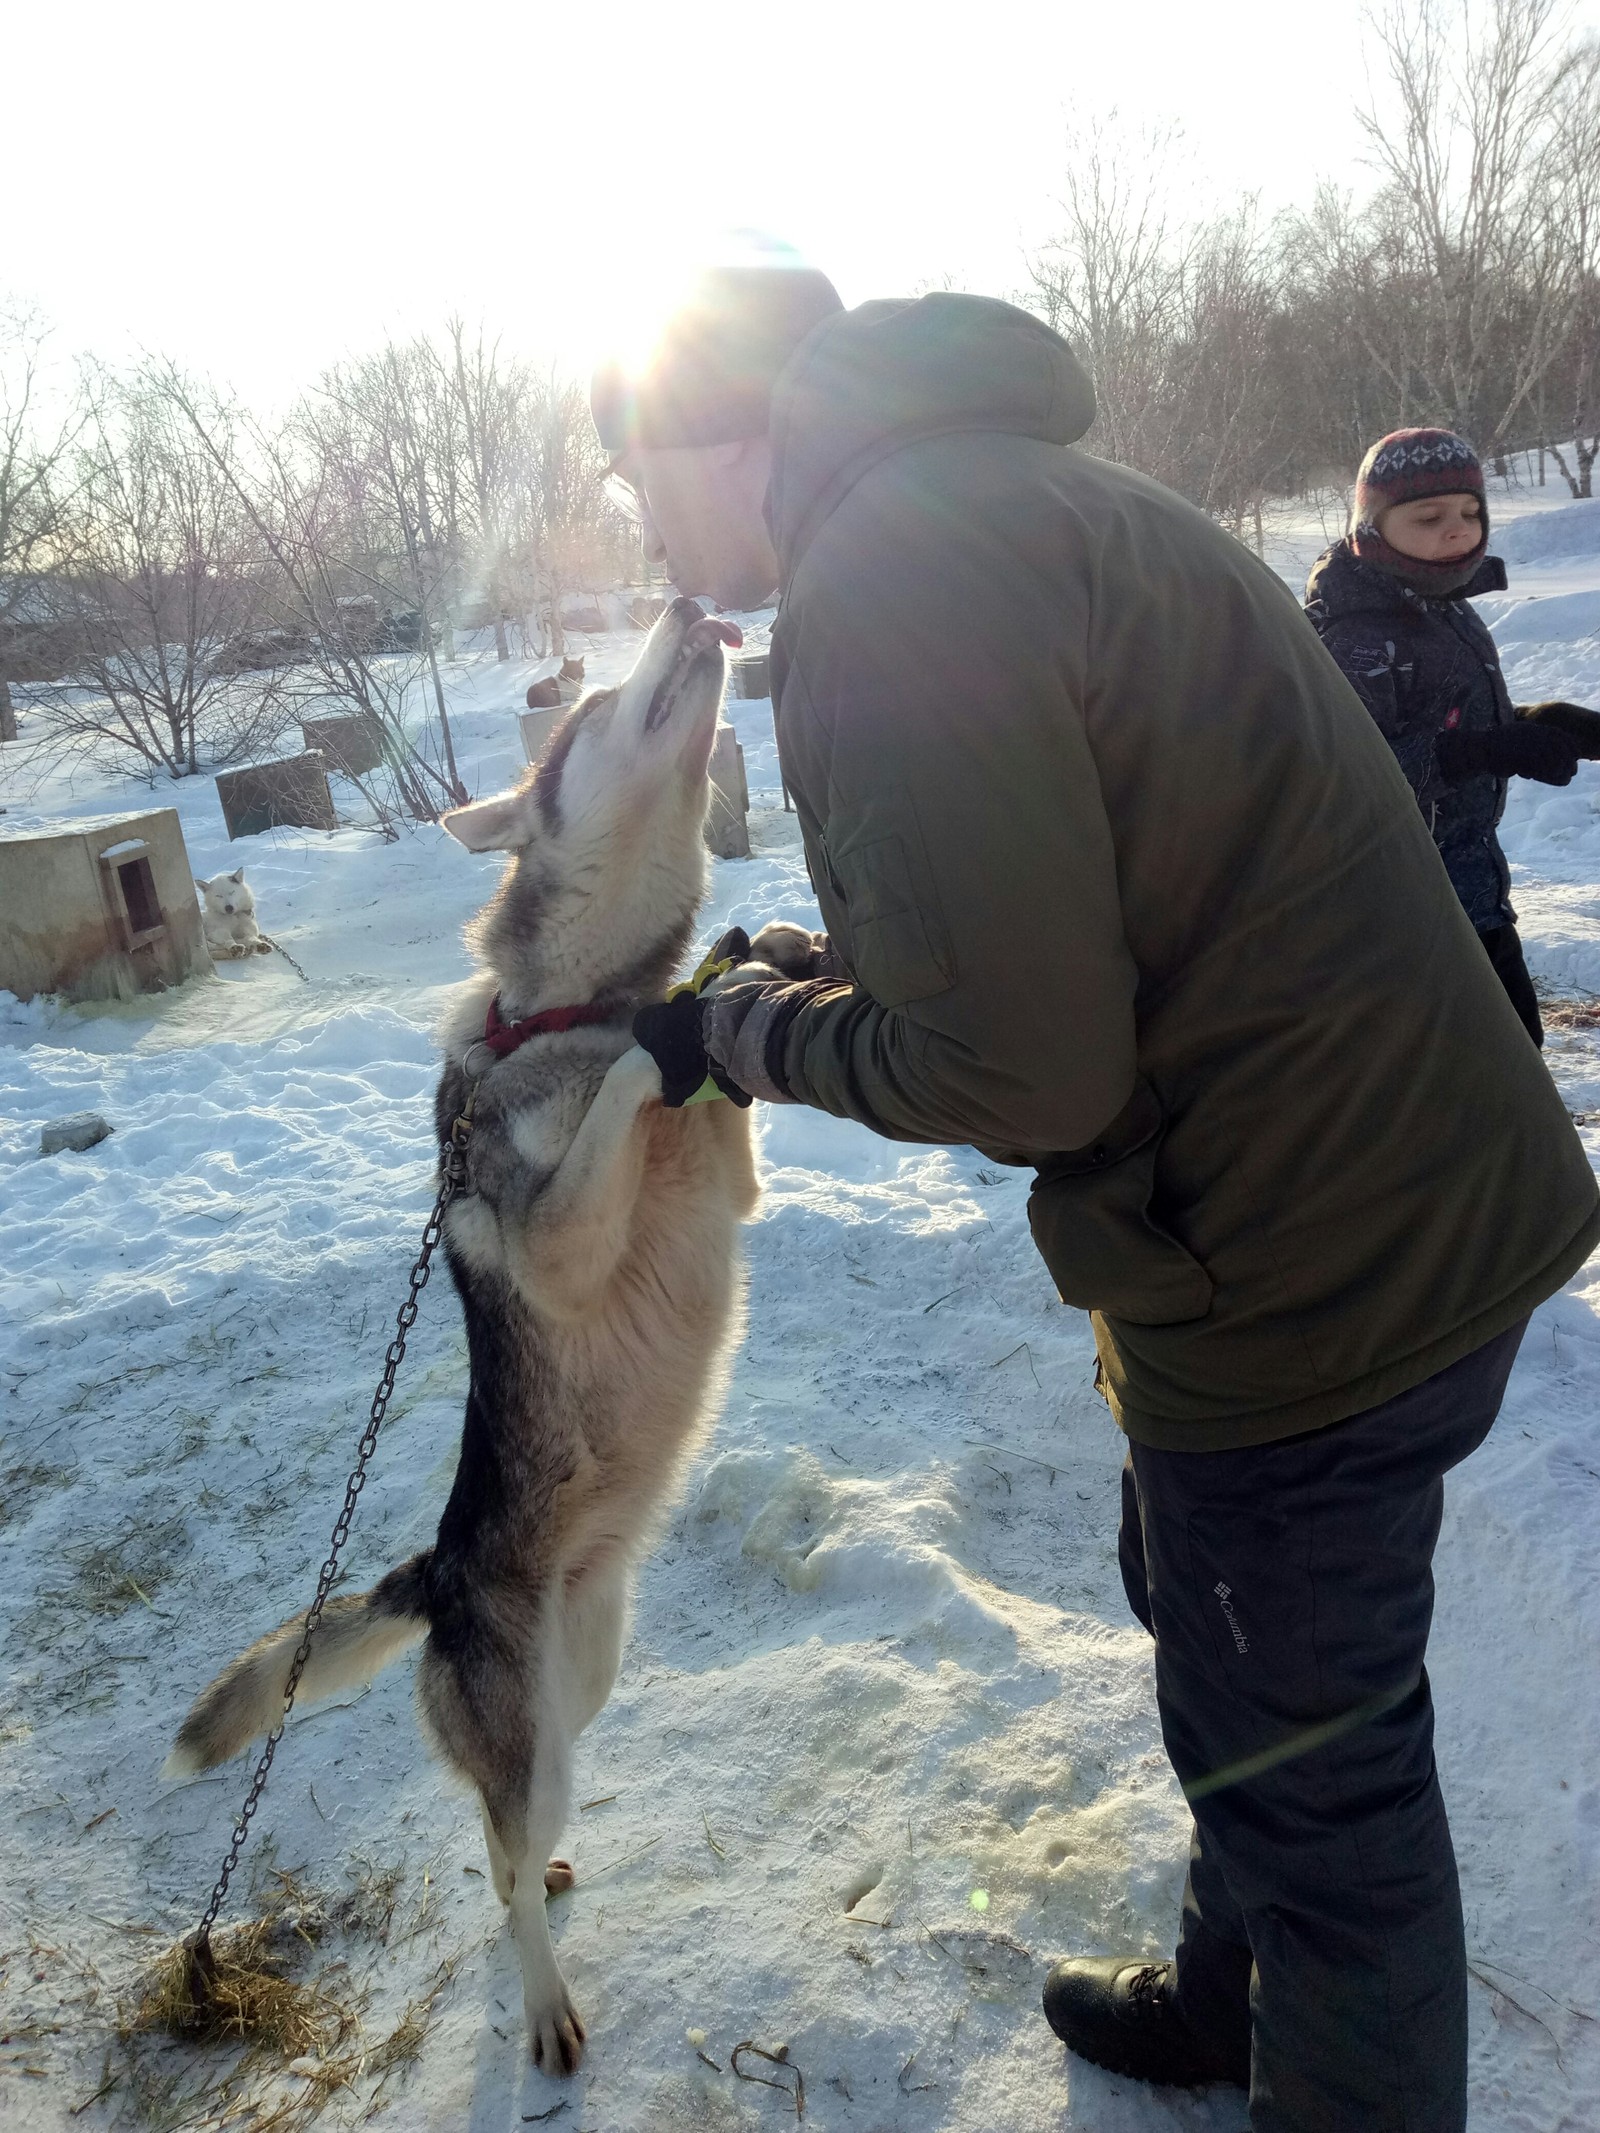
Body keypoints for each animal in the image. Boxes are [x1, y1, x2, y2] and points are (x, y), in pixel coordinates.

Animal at [167, 597, 797, 2064]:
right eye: (595, 704)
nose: (691, 602)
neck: (576, 1006)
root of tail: (433, 1575)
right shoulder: (562, 1239)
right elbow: (629, 1087)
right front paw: (666, 1033)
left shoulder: (728, 1183)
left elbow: (714, 1098)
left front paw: (752, 961)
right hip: (538, 1745)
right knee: (501, 1869)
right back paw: (546, 2001)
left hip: (591, 1679)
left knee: (508, 1842)